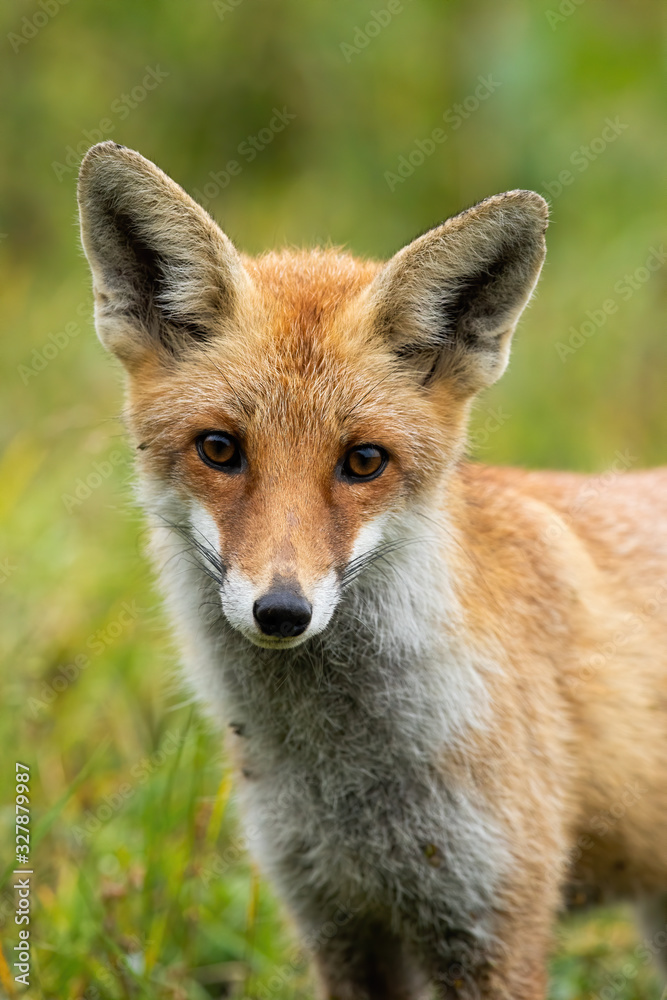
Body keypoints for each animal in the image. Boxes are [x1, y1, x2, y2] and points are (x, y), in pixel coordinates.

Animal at [77, 141, 667, 999]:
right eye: (219, 449)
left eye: (363, 461)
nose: (280, 611)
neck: (347, 790)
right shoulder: (337, 920)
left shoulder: (490, 922)